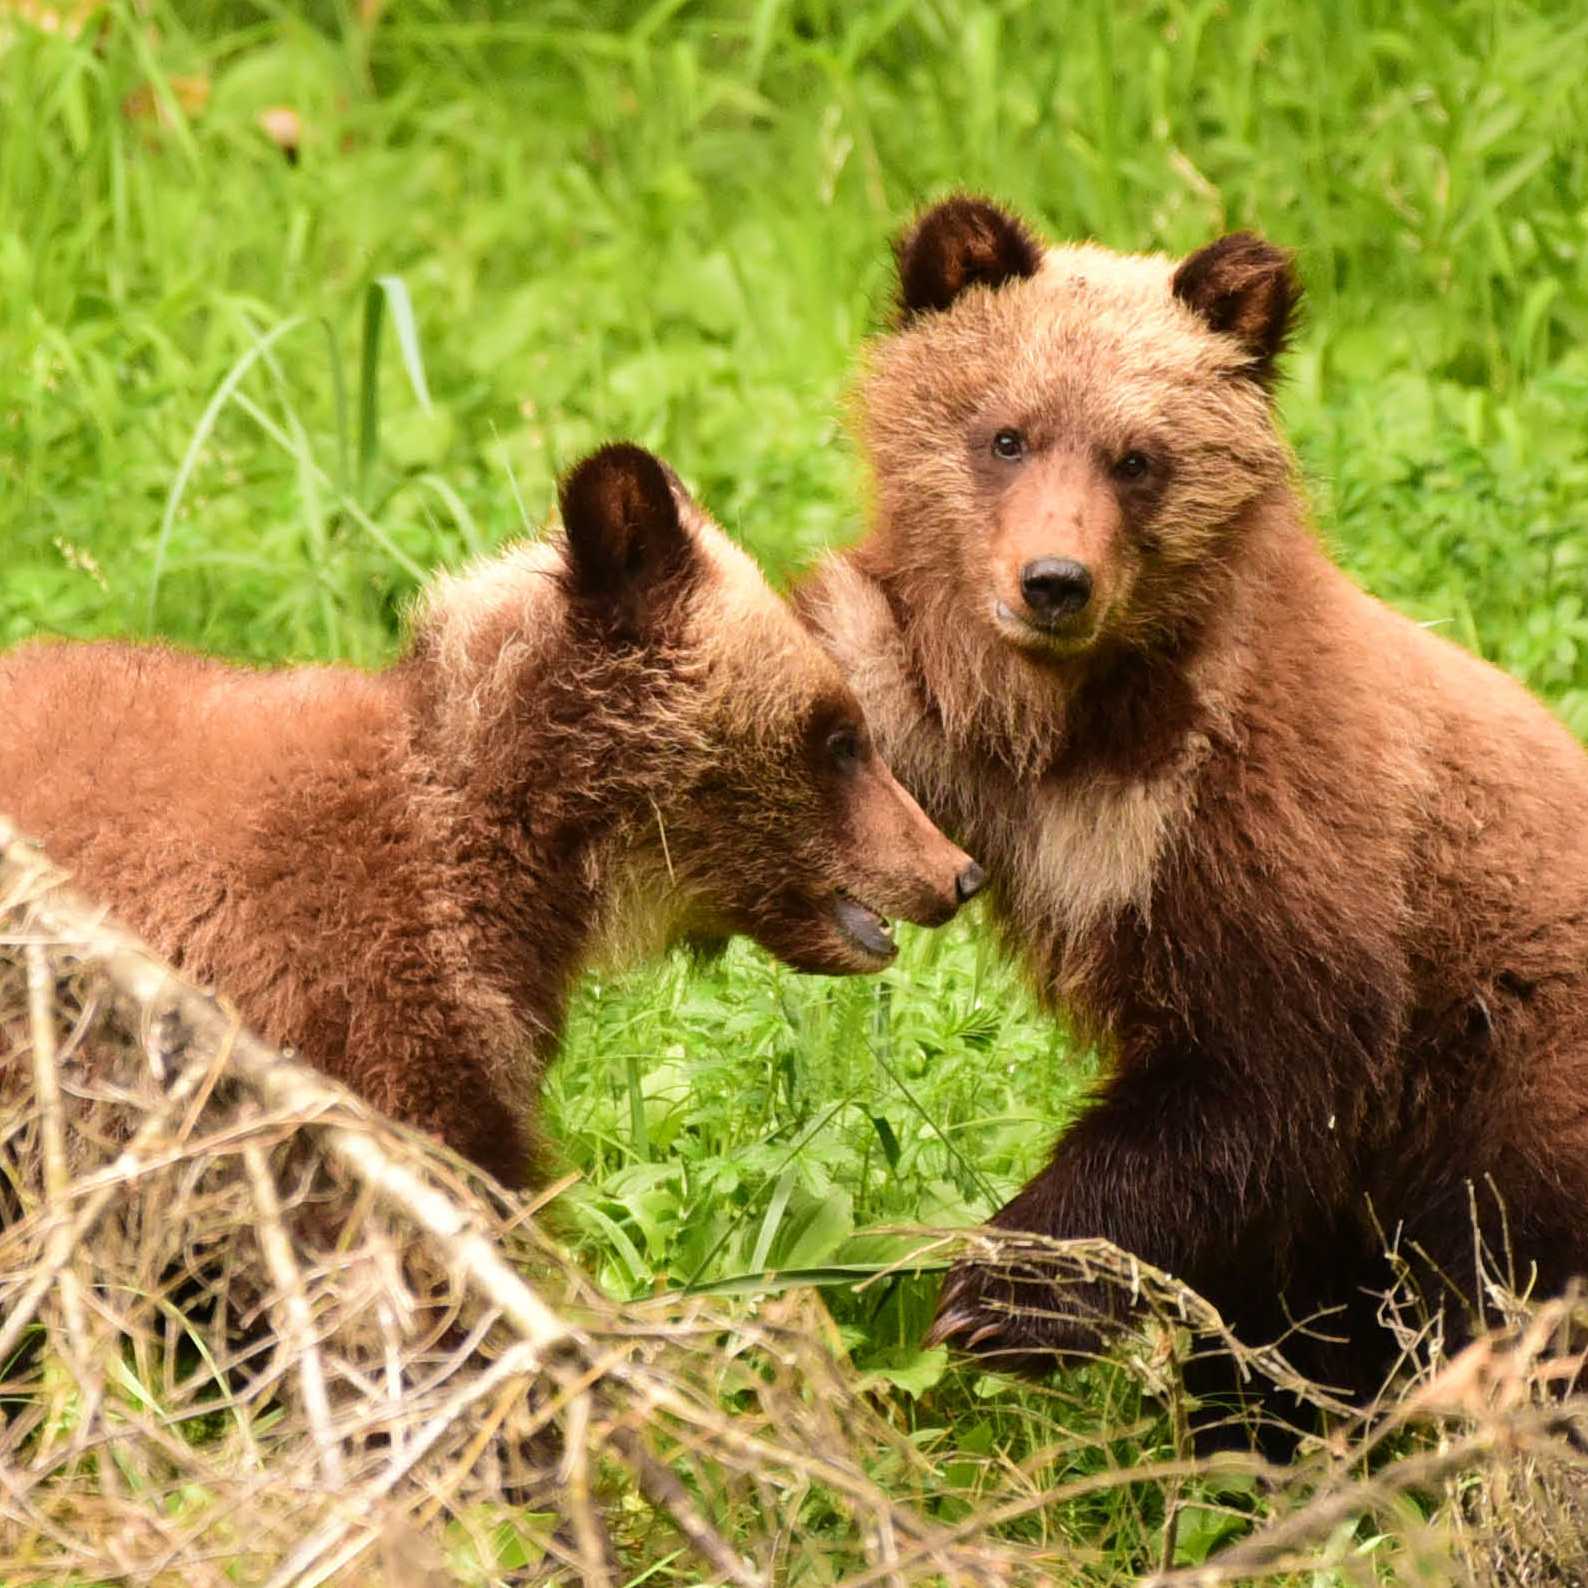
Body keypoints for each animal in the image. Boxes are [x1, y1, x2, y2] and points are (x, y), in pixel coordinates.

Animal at [797, 195, 1588, 1424]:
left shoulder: (1272, 829)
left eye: (1137, 457)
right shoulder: (944, 727)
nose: (1053, 582)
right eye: (1005, 434)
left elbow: (1250, 1077)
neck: (1088, 723)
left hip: (1520, 1083)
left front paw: (1000, 1295)